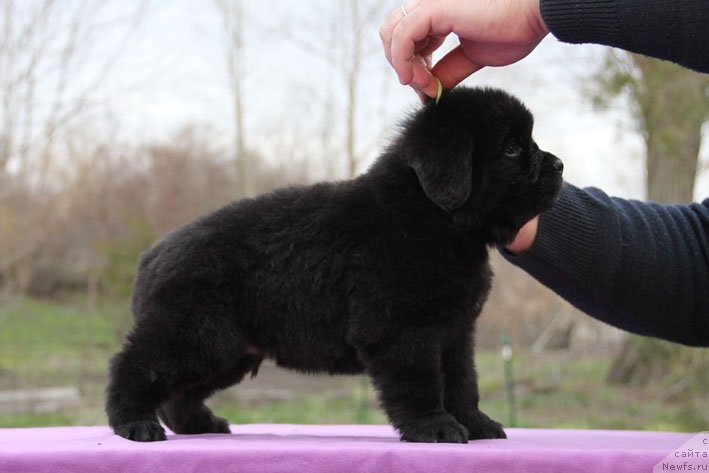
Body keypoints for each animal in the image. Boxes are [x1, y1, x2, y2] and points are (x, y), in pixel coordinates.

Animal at [105, 87, 560, 442]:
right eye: (512, 149)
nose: (559, 165)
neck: (434, 217)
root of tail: (153, 255)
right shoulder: (400, 328)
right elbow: (420, 381)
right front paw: (435, 427)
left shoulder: (455, 332)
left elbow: (463, 381)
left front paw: (476, 424)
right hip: (195, 333)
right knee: (134, 367)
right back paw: (133, 423)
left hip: (229, 350)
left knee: (179, 392)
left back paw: (201, 423)